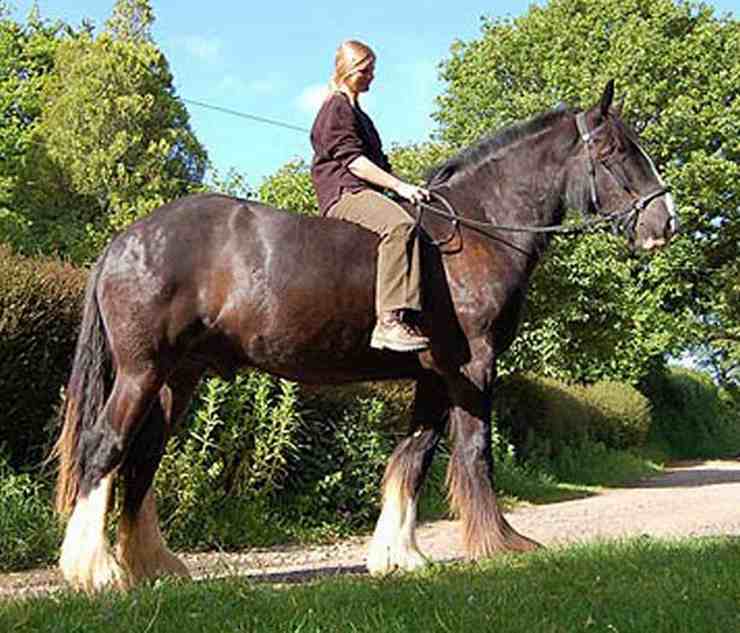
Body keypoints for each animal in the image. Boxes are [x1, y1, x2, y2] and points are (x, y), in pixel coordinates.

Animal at [52, 81, 676, 592]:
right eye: (615, 151)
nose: (665, 222)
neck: (474, 231)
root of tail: (125, 240)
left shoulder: (434, 376)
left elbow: (413, 456)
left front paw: (400, 556)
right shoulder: (473, 368)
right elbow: (475, 449)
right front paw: (500, 544)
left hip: (177, 378)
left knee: (142, 457)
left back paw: (151, 566)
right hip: (142, 371)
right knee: (105, 447)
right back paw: (96, 571)